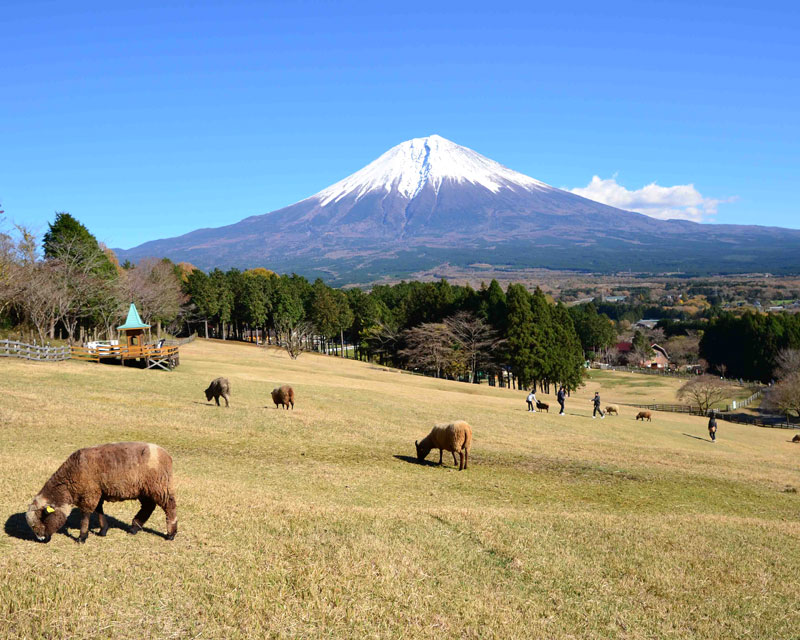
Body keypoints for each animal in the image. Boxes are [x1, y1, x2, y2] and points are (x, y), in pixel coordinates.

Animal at [25, 442, 177, 544]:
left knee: (169, 507)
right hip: (144, 489)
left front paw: (82, 537)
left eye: (42, 519)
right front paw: (103, 531)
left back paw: (171, 534)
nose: (42, 539)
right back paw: (134, 528)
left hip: (159, 485)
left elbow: (85, 515)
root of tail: (167, 455)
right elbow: (99, 511)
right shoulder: (97, 492)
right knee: (148, 506)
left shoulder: (89, 493)